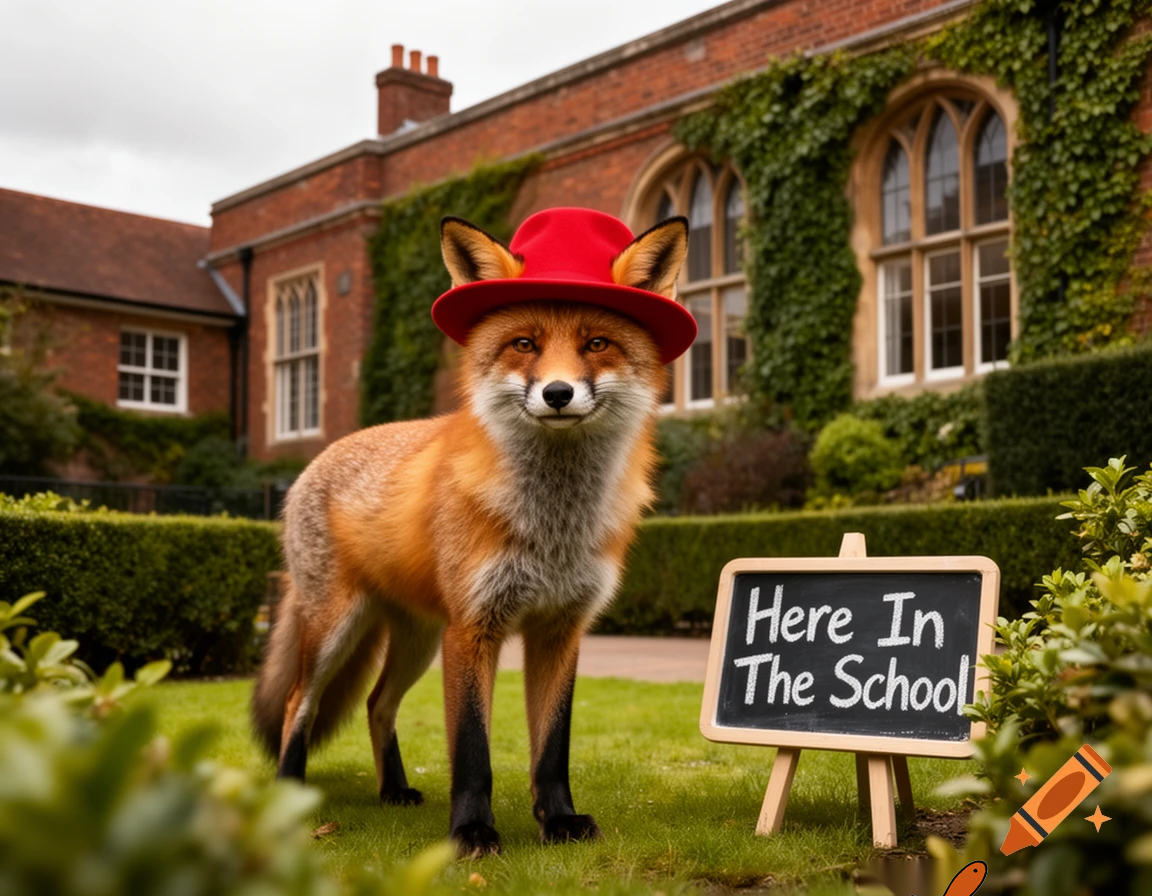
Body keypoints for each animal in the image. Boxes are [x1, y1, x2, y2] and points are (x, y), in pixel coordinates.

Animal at [250, 208, 690, 858]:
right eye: (524, 344)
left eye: (597, 344)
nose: (557, 393)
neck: (553, 526)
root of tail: (321, 456)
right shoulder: (474, 628)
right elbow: (472, 749)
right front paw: (472, 833)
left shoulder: (560, 628)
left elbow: (552, 747)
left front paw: (559, 821)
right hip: (338, 627)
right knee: (293, 706)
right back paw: (288, 795)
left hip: (416, 640)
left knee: (378, 704)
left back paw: (393, 790)